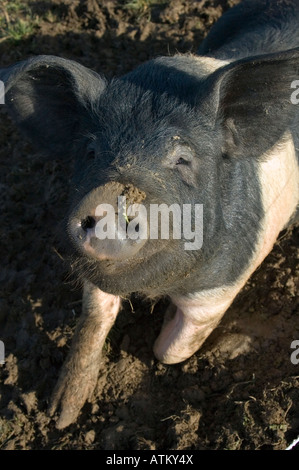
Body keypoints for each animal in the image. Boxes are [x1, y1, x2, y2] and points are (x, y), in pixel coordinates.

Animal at [0, 0, 299, 430]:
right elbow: (94, 316)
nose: (112, 195)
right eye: (90, 151)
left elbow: (170, 351)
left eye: (183, 158)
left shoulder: (222, 287)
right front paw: (60, 416)